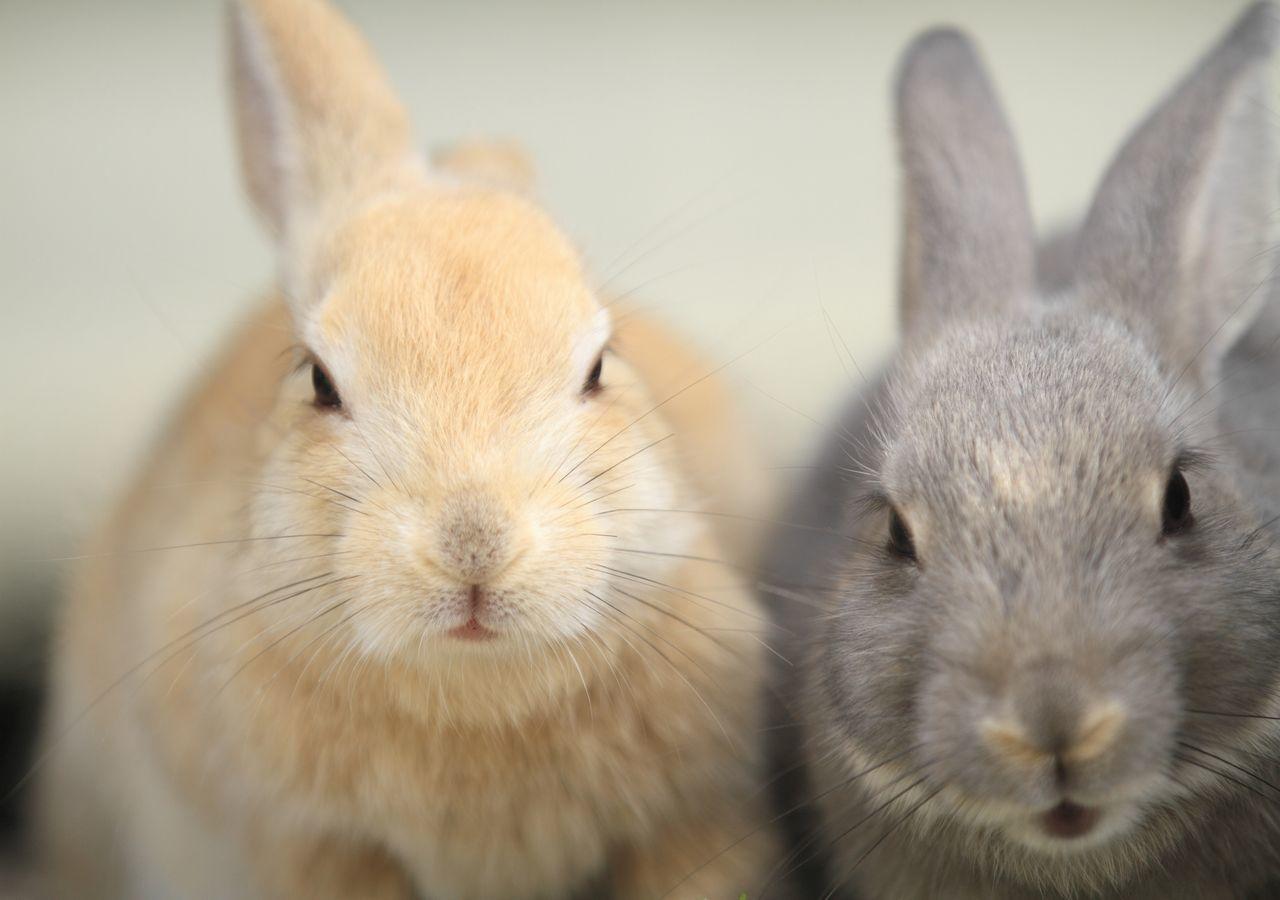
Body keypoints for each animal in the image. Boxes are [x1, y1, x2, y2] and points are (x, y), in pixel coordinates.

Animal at [35, 1, 778, 900]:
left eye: (601, 366)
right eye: (319, 380)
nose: (474, 546)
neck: (476, 695)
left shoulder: (696, 825)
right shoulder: (315, 851)